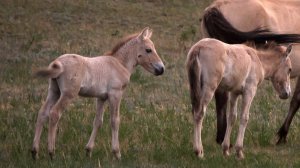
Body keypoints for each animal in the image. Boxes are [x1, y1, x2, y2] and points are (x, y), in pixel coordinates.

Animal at [31, 26, 165, 159]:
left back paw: (34, 152)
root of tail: (57, 62)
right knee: (54, 114)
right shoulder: (115, 94)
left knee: (43, 113)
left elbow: (98, 122)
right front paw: (117, 153)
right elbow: (115, 121)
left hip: (54, 91)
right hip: (68, 94)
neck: (119, 63)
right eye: (148, 50)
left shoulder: (101, 98)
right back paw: (51, 152)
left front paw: (88, 150)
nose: (161, 69)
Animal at [200, 0, 300, 144]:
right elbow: (296, 101)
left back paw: (220, 137)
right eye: (289, 69)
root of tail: (216, 6)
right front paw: (282, 135)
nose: (286, 93)